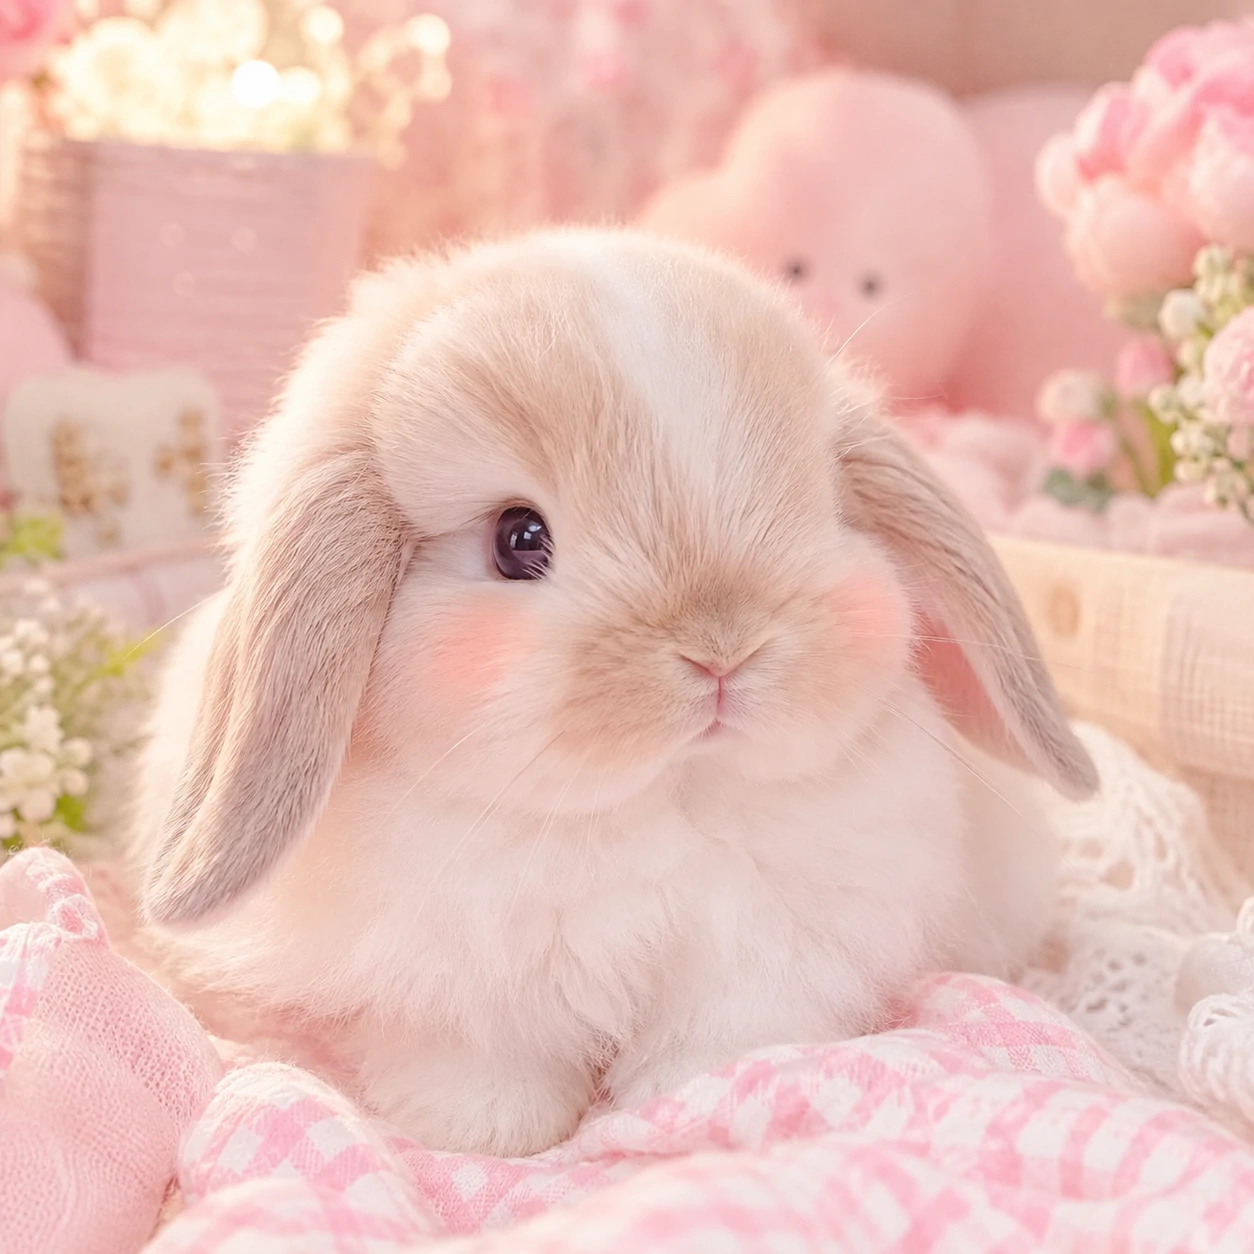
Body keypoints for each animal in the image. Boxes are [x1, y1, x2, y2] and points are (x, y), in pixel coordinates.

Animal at [130, 227, 1097, 1158]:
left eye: (824, 511)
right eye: (518, 539)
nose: (721, 650)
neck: (652, 803)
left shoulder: (758, 963)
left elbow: (720, 1039)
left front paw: (707, 1092)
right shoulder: (455, 991)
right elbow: (478, 1061)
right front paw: (486, 1131)